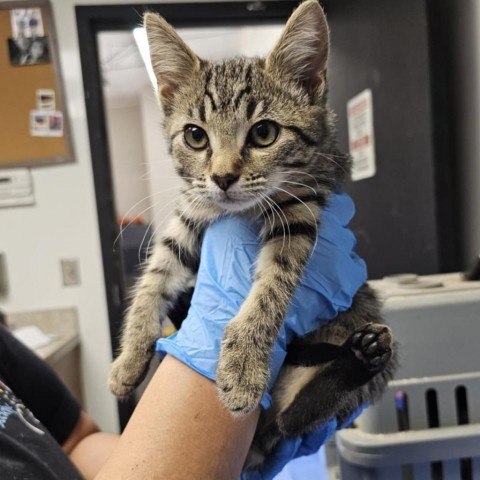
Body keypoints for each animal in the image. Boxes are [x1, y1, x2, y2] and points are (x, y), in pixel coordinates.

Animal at [109, 0, 398, 460]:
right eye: (195, 136)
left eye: (264, 132)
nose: (223, 177)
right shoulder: (189, 214)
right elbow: (153, 280)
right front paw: (131, 356)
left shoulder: (300, 212)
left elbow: (273, 289)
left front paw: (244, 366)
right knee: (288, 416)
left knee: (293, 417)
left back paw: (362, 354)